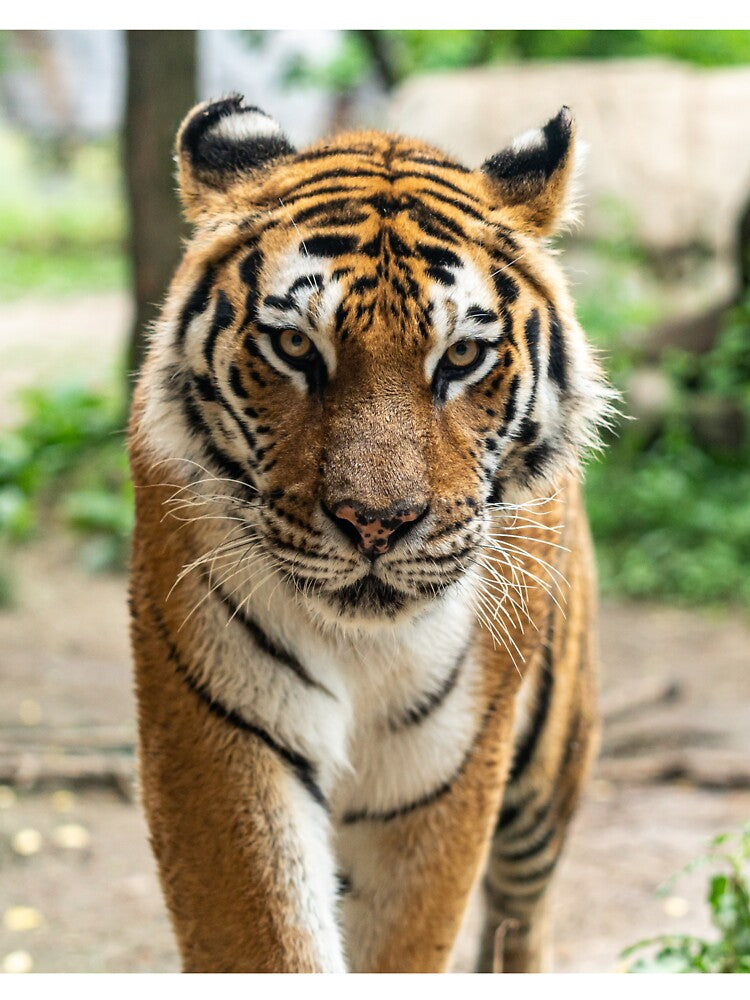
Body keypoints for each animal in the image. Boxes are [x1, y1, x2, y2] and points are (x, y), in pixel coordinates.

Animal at [127, 94, 613, 973]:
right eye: (294, 345)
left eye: (461, 356)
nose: (376, 523)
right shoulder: (223, 729)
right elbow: (267, 938)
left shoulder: (444, 767)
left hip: (548, 763)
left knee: (523, 913)